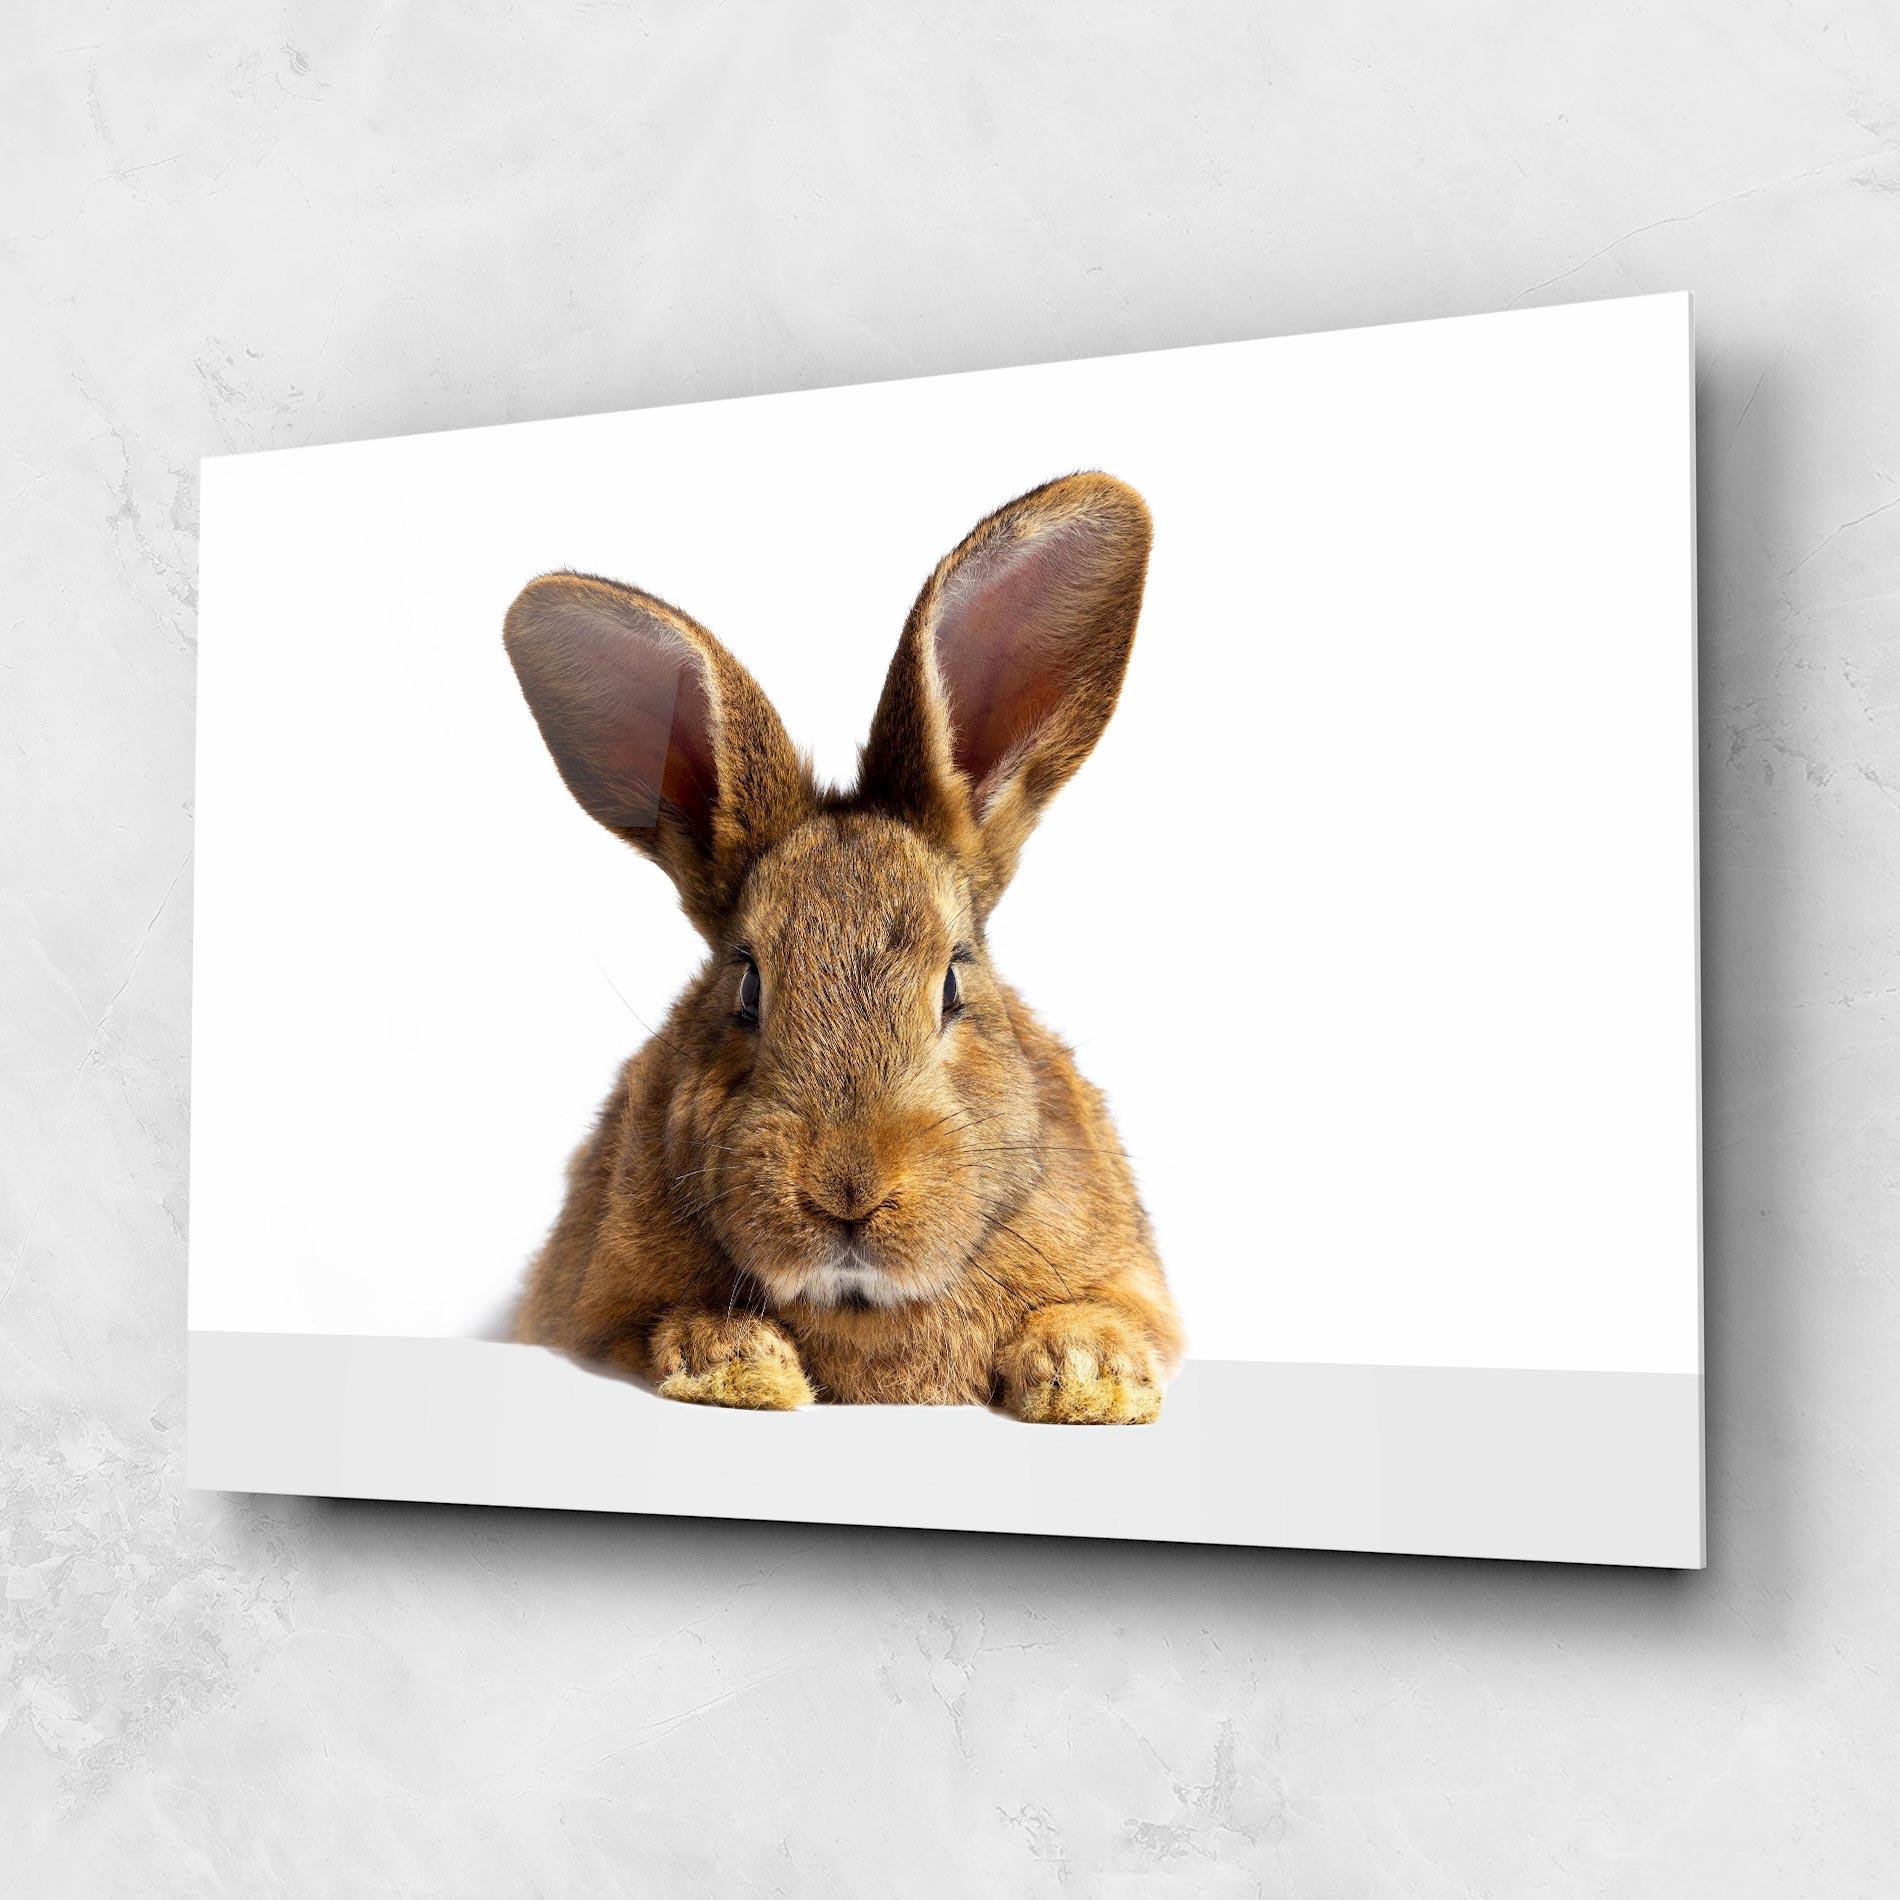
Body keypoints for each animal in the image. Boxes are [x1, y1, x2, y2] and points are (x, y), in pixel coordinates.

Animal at [503, 472, 1183, 1423]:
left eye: (953, 984)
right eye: (747, 988)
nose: (848, 1193)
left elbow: (1105, 1315)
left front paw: (1088, 1375)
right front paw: (739, 1365)